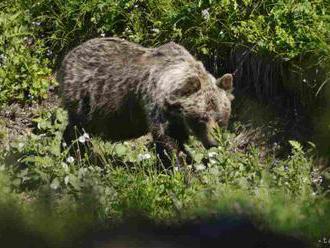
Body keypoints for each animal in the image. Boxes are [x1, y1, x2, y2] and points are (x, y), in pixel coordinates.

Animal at [56, 36, 233, 168]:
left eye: (220, 119)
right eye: (202, 118)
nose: (213, 143)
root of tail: (68, 55)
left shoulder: (176, 118)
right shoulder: (155, 105)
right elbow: (167, 140)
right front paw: (179, 165)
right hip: (87, 99)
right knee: (78, 130)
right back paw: (74, 154)